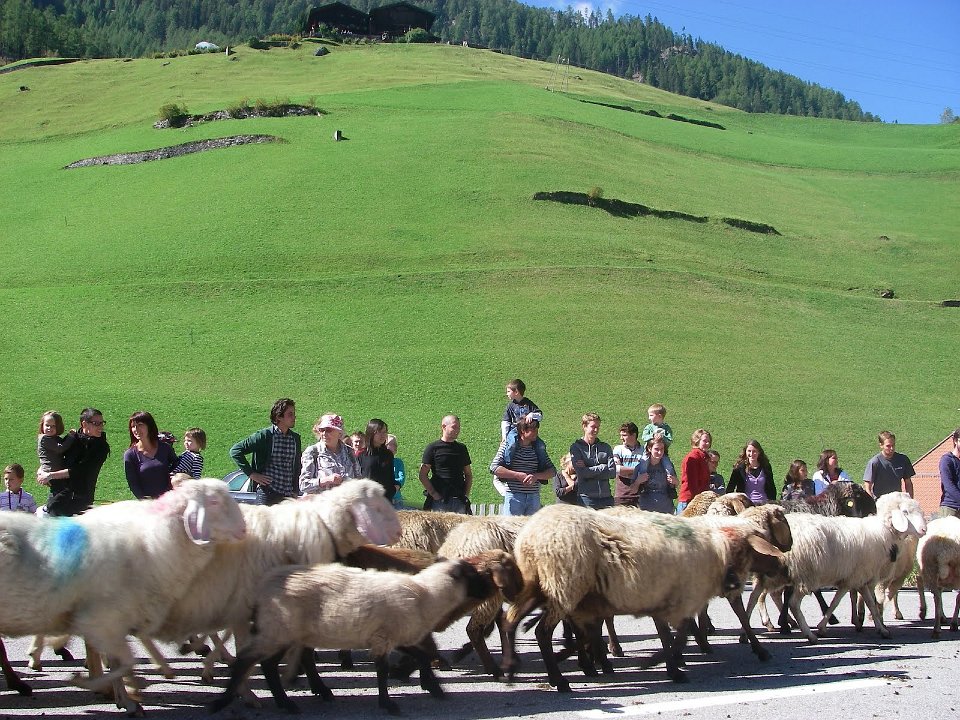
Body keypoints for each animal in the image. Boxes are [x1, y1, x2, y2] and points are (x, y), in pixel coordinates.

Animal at [0, 479, 247, 714]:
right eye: (214, 502)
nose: (244, 529)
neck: (153, 538)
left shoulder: (118, 617)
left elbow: (121, 659)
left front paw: (121, 695)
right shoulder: (105, 619)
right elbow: (123, 660)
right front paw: (111, 691)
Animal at [209, 557, 497, 715]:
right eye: (473, 575)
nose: (492, 589)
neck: (427, 595)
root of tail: (263, 587)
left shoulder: (395, 636)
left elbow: (423, 657)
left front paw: (433, 687)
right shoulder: (384, 638)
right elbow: (382, 671)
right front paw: (388, 704)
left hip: (282, 632)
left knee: (265, 664)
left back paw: (283, 703)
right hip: (278, 629)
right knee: (248, 661)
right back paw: (229, 700)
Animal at [504, 502, 785, 691]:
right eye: (760, 547)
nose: (782, 563)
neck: (719, 549)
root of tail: (529, 538)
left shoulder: (663, 599)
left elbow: (669, 636)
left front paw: (671, 666)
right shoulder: (682, 599)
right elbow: (681, 635)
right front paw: (661, 664)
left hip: (538, 585)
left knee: (511, 621)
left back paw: (513, 667)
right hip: (564, 586)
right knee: (542, 632)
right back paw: (560, 679)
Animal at [777, 491, 925, 642]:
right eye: (905, 512)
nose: (924, 530)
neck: (882, 531)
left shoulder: (858, 579)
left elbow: (867, 604)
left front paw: (881, 628)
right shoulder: (856, 578)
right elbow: (839, 602)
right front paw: (823, 627)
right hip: (807, 575)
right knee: (793, 603)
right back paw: (808, 634)